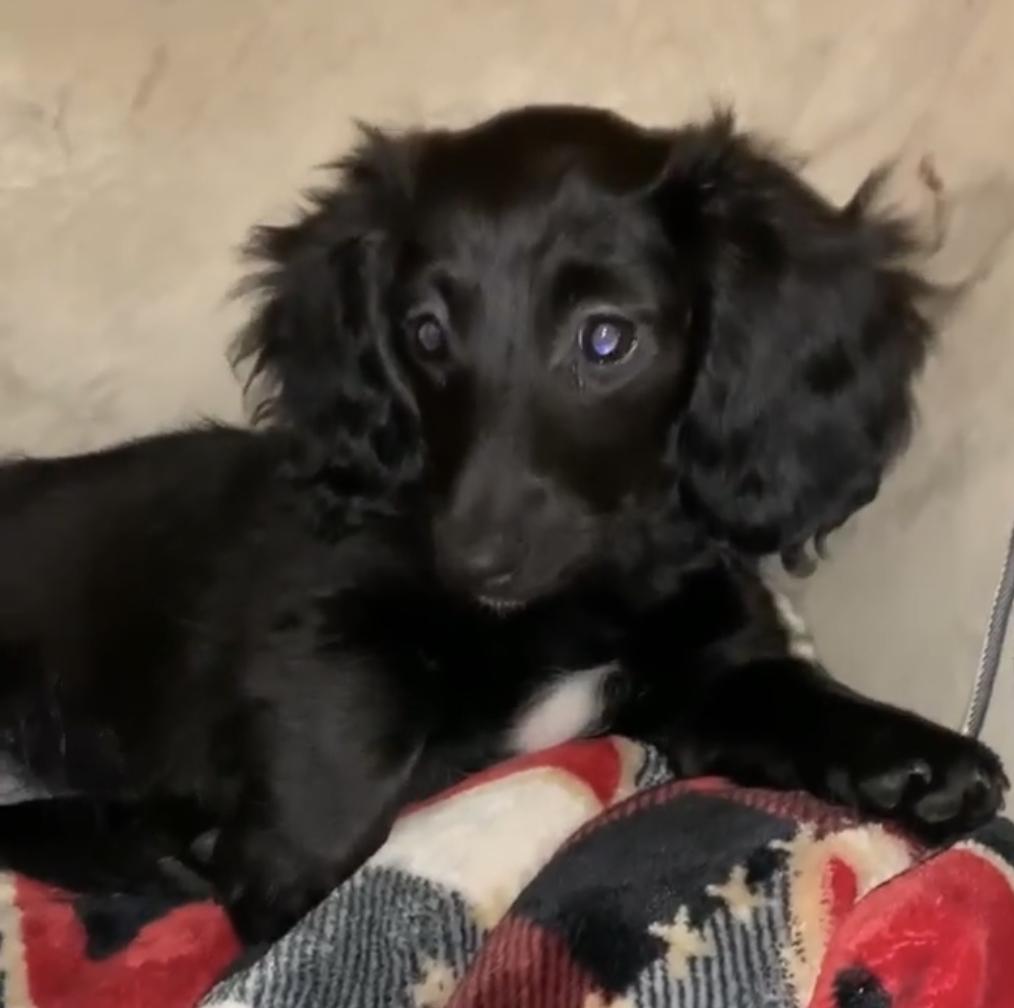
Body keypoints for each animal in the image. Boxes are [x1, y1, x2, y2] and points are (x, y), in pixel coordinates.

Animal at [0, 105, 1005, 943]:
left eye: (606, 338)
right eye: (425, 332)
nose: (476, 565)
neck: (571, 602)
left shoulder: (710, 670)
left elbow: (792, 696)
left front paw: (920, 761)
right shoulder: (318, 613)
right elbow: (350, 734)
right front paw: (279, 875)